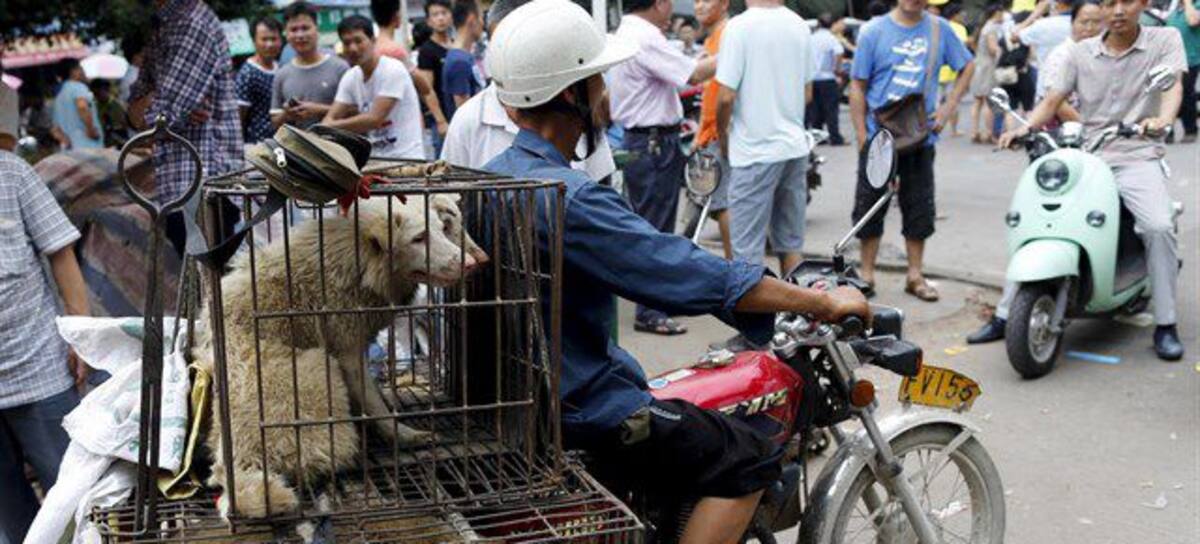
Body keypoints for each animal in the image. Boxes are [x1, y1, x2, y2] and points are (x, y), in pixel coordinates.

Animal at [194, 193, 487, 517]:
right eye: (419, 238)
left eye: (441, 228)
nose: (473, 263)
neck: (360, 259)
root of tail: (236, 465)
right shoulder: (347, 354)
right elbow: (378, 408)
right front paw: (403, 435)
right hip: (319, 366)